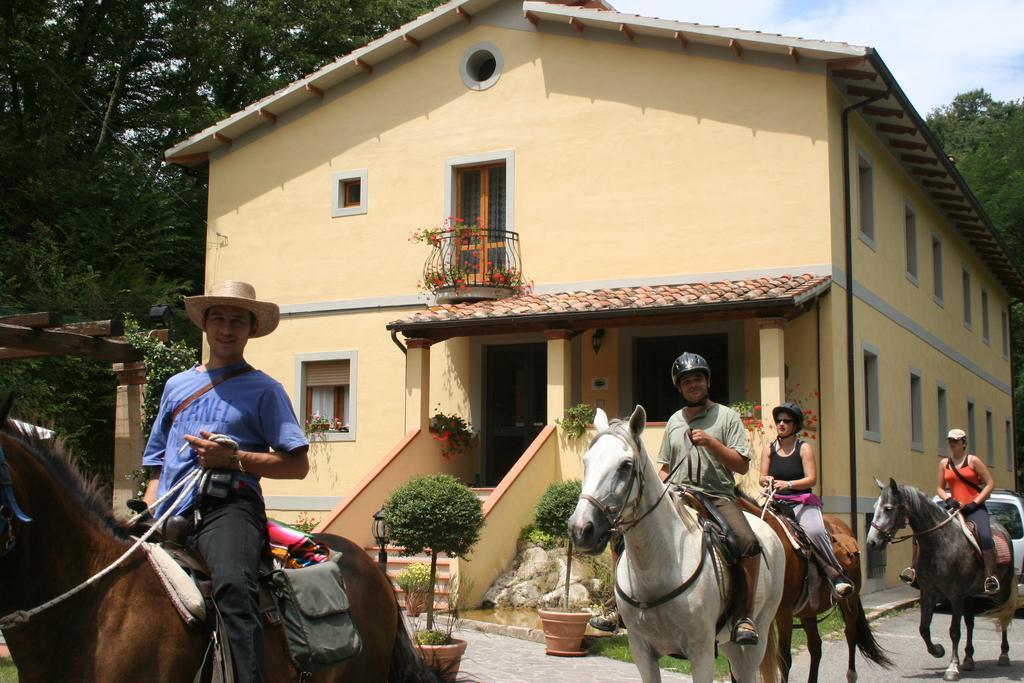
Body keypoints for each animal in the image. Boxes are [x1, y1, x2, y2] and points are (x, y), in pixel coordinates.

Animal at [569, 405, 782, 683]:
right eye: (586, 461)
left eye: (626, 465)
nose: (581, 529)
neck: (656, 570)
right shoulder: (641, 650)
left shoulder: (701, 652)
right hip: (728, 645)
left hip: (757, 636)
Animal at [741, 497, 892, 683]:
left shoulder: (784, 613)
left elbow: (783, 659)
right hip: (808, 611)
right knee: (816, 646)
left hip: (850, 600)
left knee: (850, 634)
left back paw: (851, 674)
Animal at [864, 479, 1015, 679]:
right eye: (875, 507)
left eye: (888, 508)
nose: (871, 542)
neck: (939, 543)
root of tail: (1003, 529)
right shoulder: (928, 593)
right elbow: (923, 628)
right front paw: (937, 650)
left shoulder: (955, 595)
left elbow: (954, 631)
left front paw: (952, 667)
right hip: (969, 595)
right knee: (970, 623)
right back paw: (968, 659)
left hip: (1002, 589)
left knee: (1003, 616)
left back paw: (1004, 654)